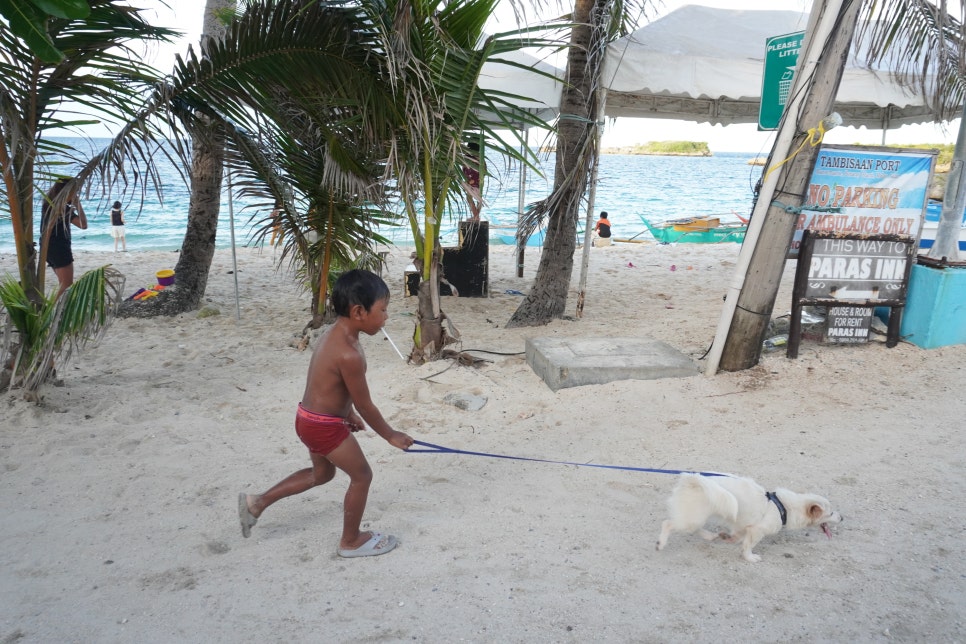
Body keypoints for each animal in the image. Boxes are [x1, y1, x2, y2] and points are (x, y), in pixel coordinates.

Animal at [656, 470, 840, 560]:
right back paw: (661, 543)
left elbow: (739, 538)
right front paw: (750, 558)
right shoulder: (757, 530)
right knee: (667, 523)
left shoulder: (744, 526)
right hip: (693, 518)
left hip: (697, 516)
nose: (842, 517)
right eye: (831, 513)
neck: (783, 507)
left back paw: (710, 536)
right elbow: (748, 545)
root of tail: (691, 479)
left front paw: (728, 539)